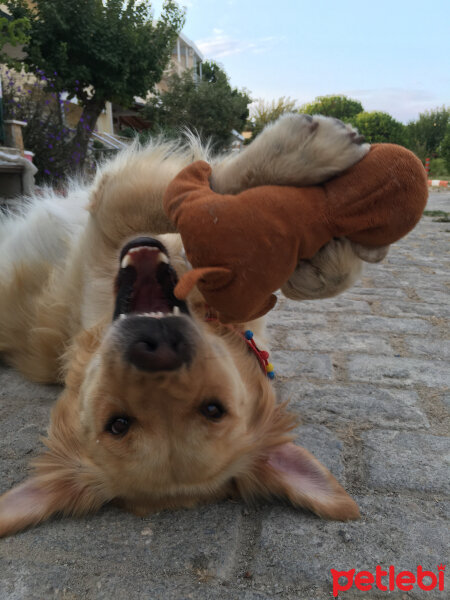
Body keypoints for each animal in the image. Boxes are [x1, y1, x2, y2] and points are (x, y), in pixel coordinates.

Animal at [0, 115, 372, 536]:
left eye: (212, 409)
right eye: (118, 423)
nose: (157, 347)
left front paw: (322, 260)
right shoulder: (109, 217)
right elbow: (189, 197)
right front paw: (302, 154)